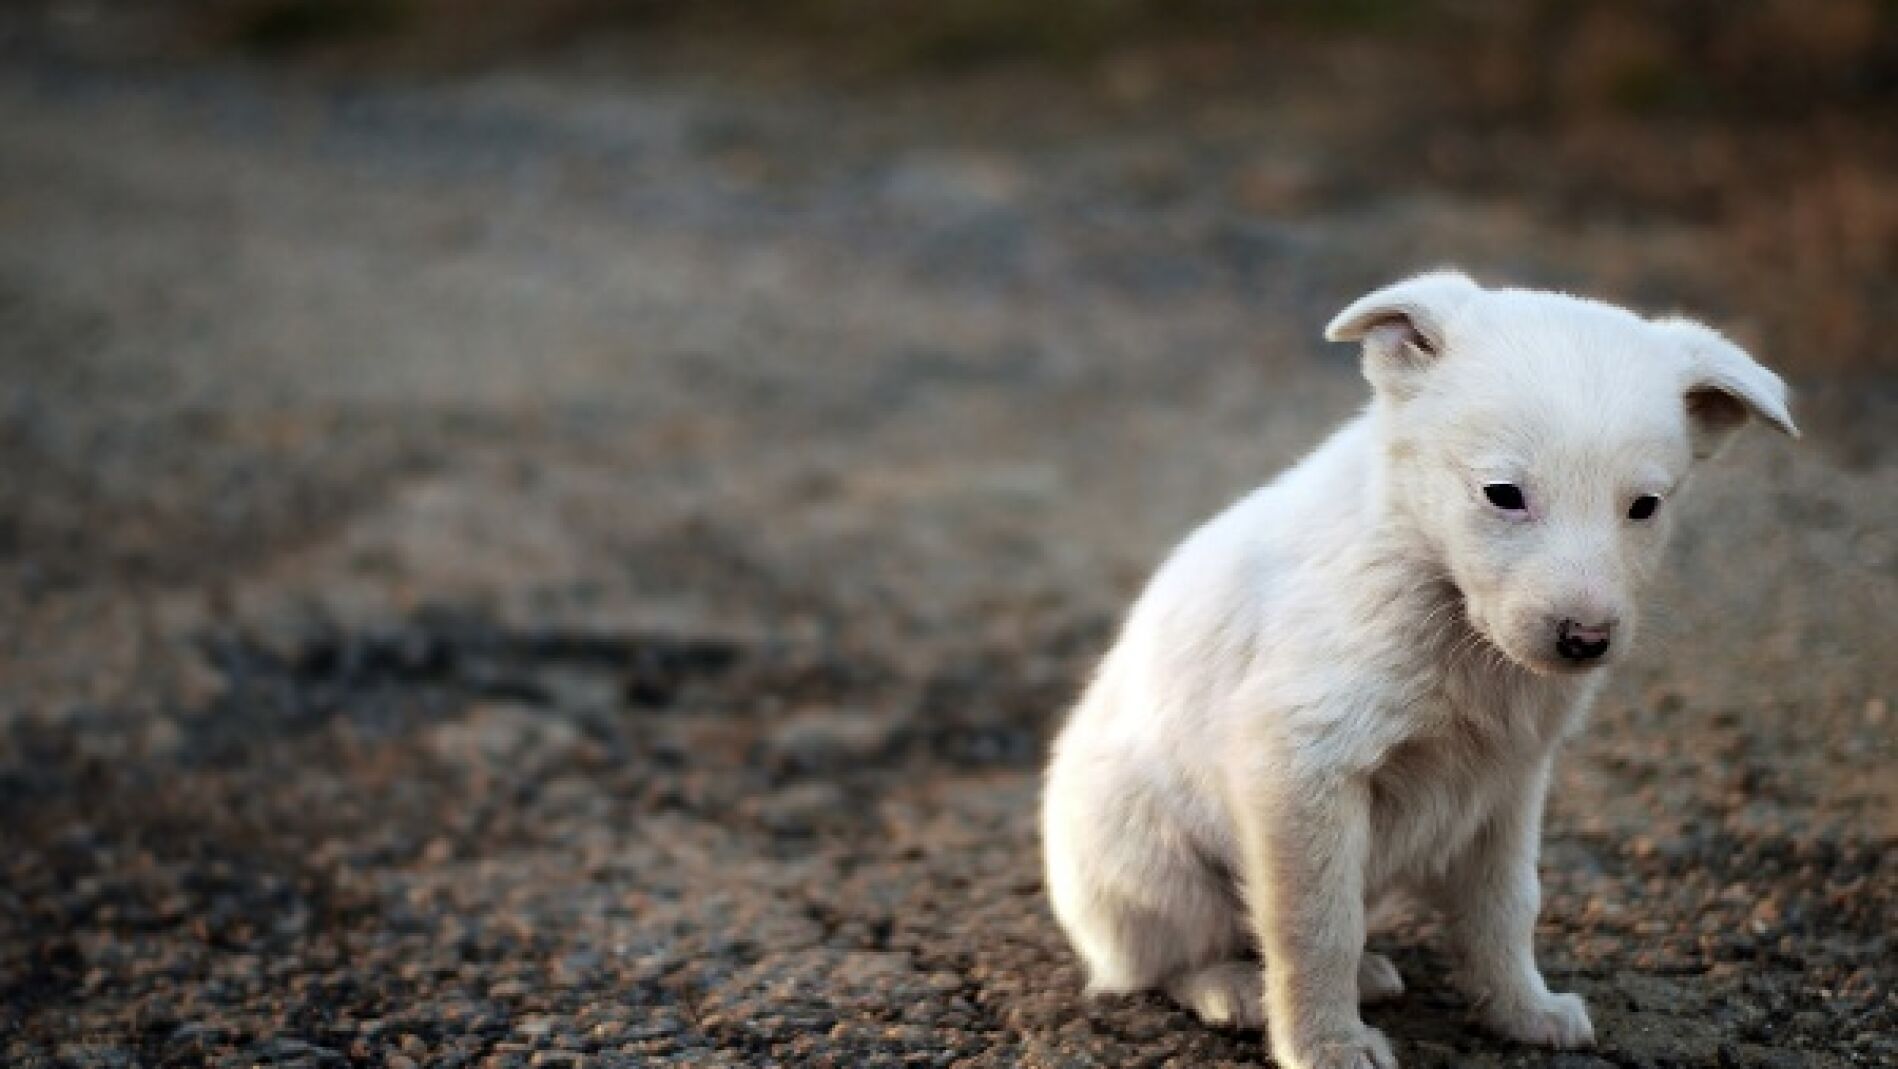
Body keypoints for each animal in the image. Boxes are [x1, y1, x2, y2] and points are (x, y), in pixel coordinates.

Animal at [1040, 273, 1791, 1069]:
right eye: (1503, 494)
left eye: (1644, 507)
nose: (1585, 640)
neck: (1441, 596)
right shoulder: (1302, 767)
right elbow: (1316, 927)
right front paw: (1326, 1045)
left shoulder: (1510, 782)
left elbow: (1506, 907)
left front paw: (1523, 1010)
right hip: (1150, 861)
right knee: (1163, 959)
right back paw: (1234, 988)